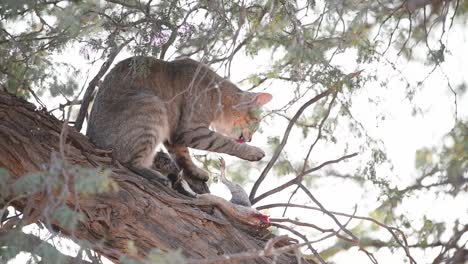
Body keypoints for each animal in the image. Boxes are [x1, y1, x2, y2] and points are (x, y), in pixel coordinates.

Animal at [86, 56, 272, 186]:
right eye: (256, 121)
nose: (251, 139)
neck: (218, 93)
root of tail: (93, 140)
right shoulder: (191, 130)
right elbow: (224, 142)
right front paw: (252, 151)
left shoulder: (174, 134)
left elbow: (183, 157)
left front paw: (196, 172)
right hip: (152, 106)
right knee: (129, 162)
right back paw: (157, 176)